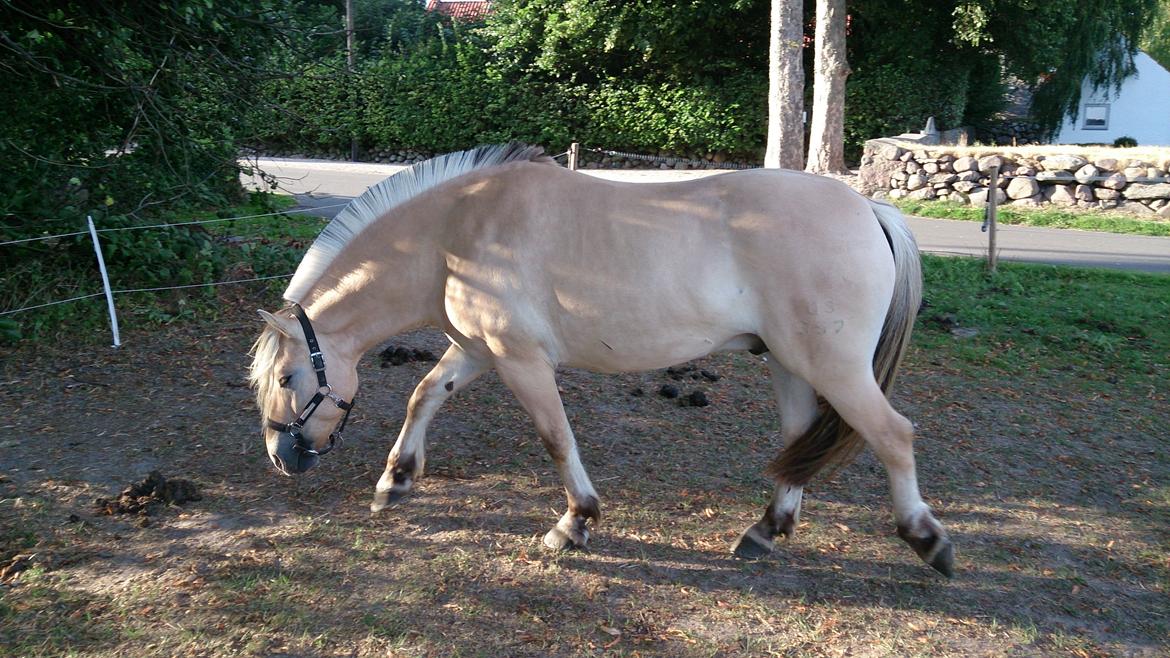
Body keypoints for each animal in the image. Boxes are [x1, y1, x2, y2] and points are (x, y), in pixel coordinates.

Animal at [251, 142, 954, 573]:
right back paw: (764, 530)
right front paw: (394, 483)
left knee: (894, 435)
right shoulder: (476, 351)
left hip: (831, 365)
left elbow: (556, 438)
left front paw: (574, 524)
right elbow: (424, 395)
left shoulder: (520, 360)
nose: (283, 458)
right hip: (787, 363)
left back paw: (927, 539)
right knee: (798, 439)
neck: (456, 234)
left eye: (287, 377)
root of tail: (869, 207)